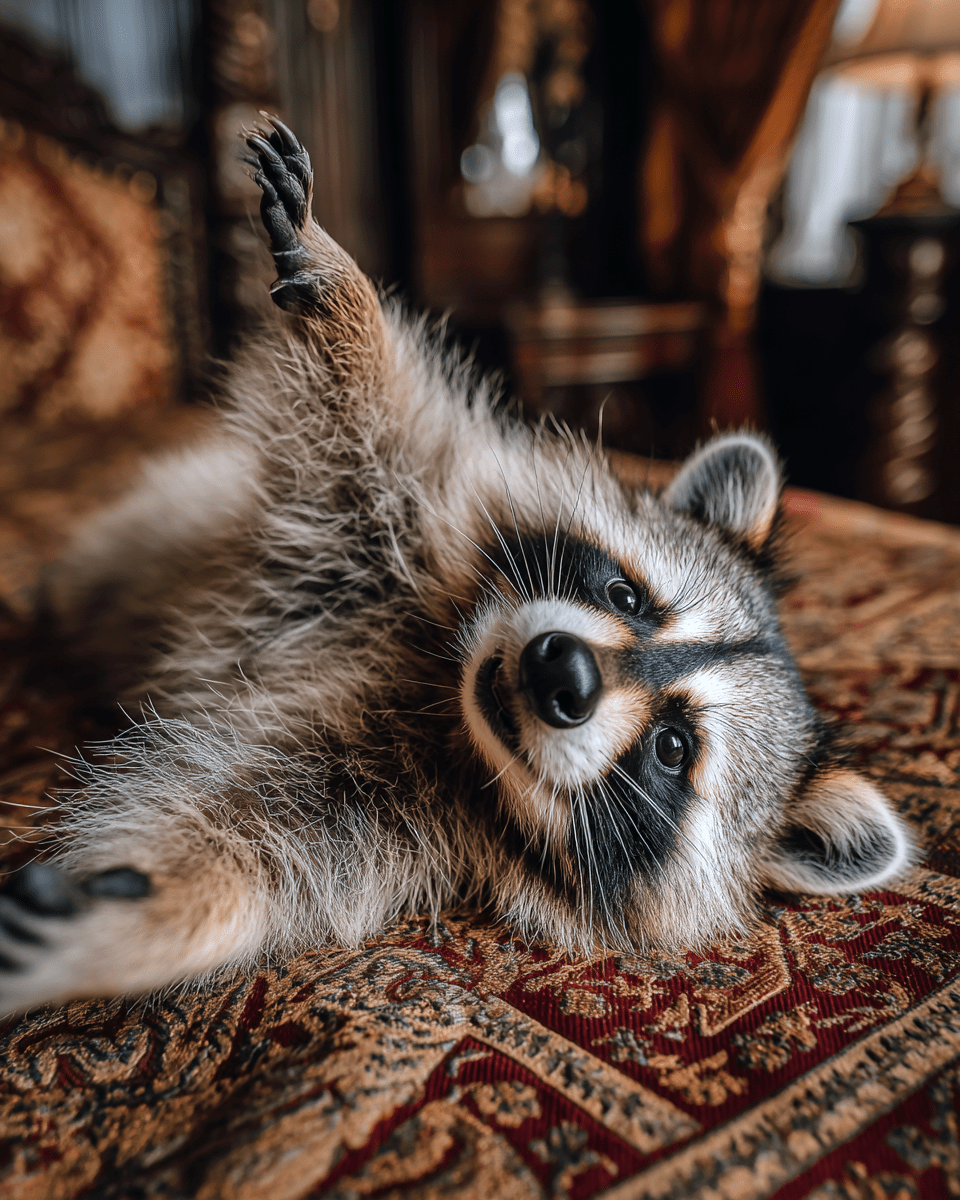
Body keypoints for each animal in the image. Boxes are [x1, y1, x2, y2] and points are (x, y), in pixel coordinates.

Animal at [0, 118, 914, 1015]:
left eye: (673, 749)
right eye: (626, 595)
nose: (560, 668)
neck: (444, 701)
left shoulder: (374, 811)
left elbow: (245, 855)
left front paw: (140, 923)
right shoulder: (389, 526)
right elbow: (363, 420)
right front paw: (343, 295)